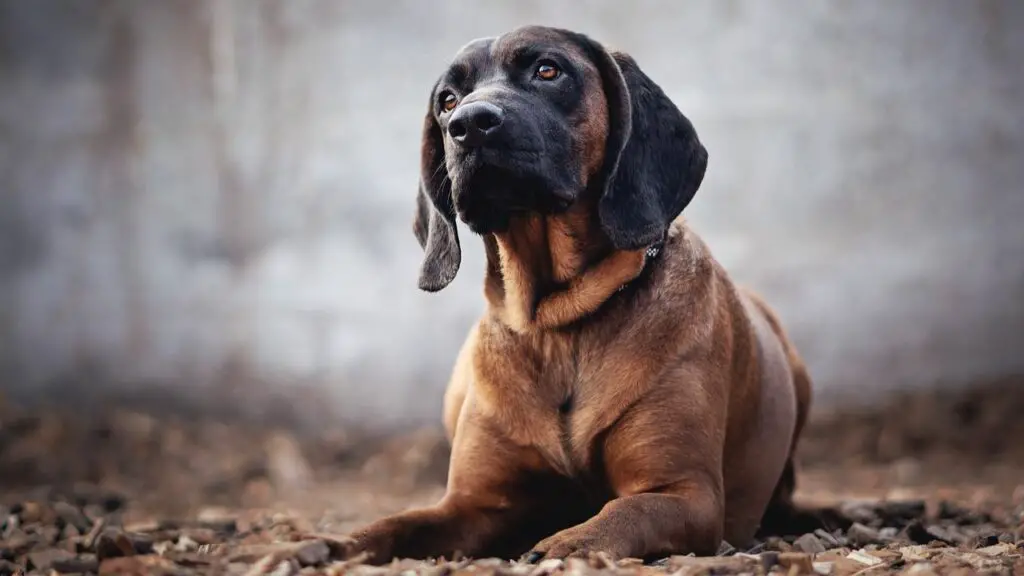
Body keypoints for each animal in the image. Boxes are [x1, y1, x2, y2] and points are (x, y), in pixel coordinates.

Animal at [348, 25, 819, 561]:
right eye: (447, 100)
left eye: (548, 70)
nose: (468, 123)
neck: (559, 322)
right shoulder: (473, 505)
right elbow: (394, 526)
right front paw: (326, 546)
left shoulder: (685, 494)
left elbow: (623, 513)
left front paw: (565, 544)